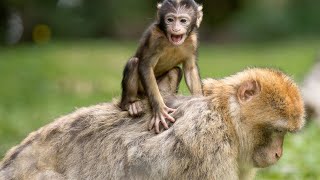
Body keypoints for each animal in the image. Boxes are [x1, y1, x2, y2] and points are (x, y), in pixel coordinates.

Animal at [119, 0, 204, 133]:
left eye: (183, 21)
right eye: (170, 20)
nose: (175, 28)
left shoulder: (193, 41)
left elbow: (190, 70)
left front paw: (198, 102)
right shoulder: (154, 37)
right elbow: (146, 66)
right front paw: (159, 110)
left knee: (175, 71)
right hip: (141, 91)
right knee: (134, 62)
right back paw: (130, 104)